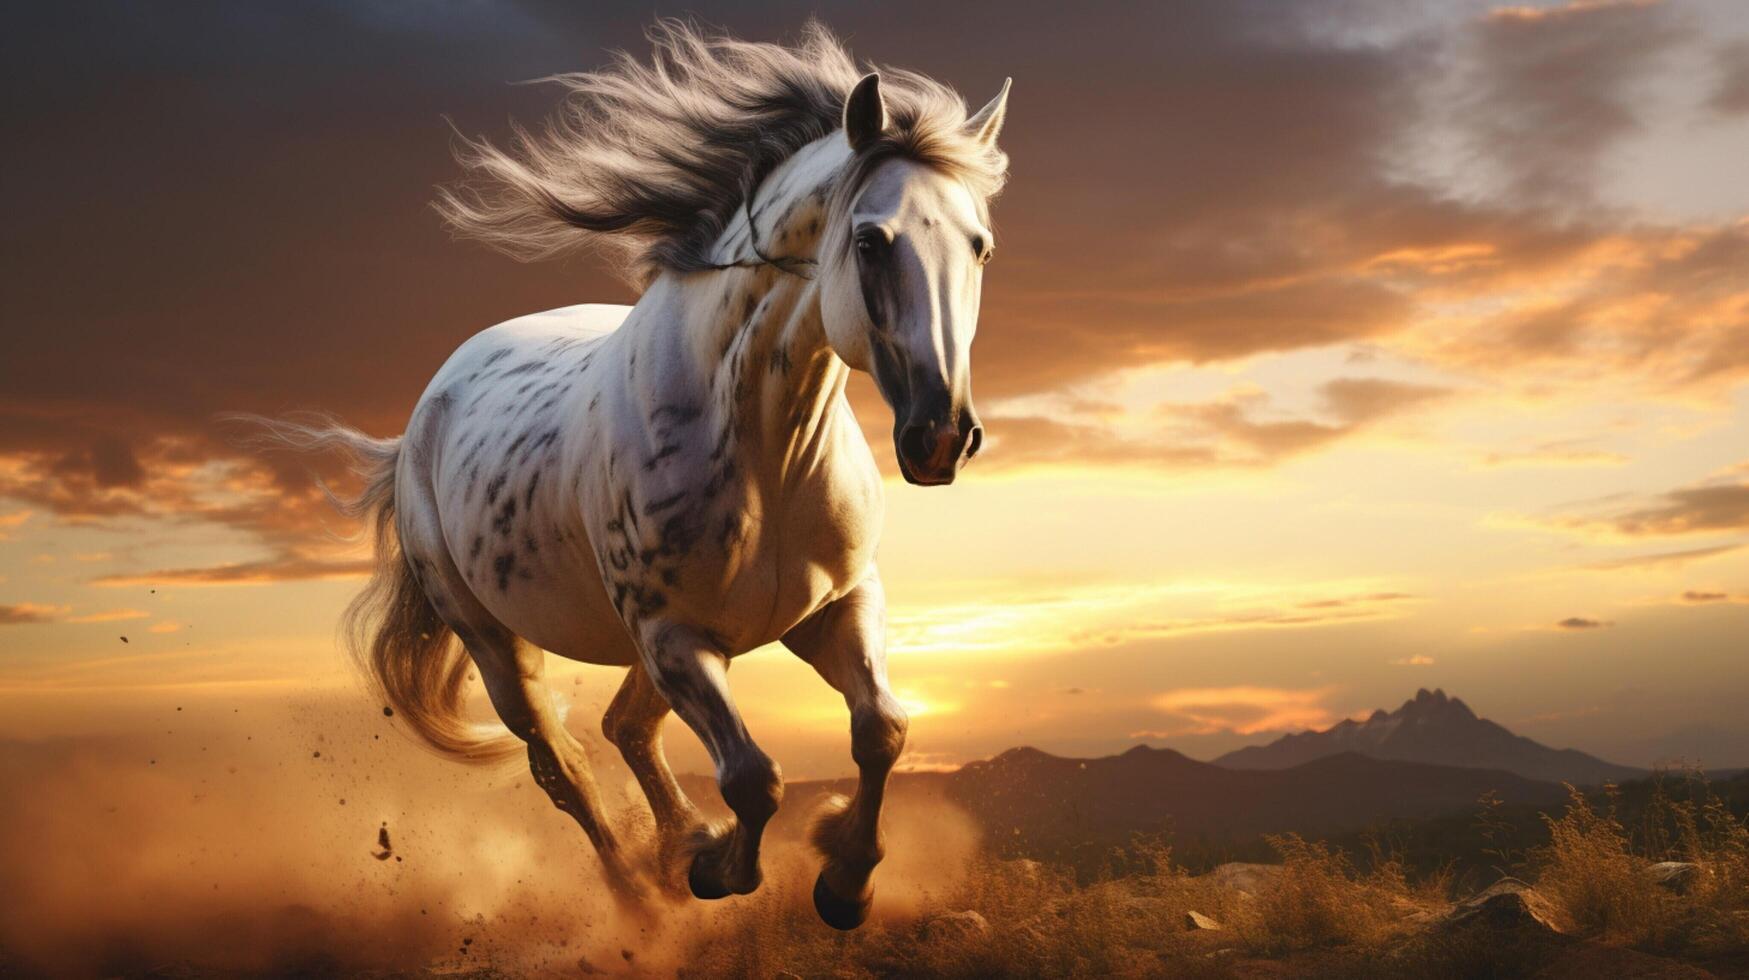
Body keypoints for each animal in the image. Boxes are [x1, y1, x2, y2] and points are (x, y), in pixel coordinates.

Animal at [254, 22, 1010, 930]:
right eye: (870, 240)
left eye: (980, 246)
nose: (941, 438)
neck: (766, 456)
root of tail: (425, 416)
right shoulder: (675, 637)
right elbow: (754, 777)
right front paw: (717, 869)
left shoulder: (834, 606)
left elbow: (881, 732)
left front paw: (842, 882)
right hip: (503, 644)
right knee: (562, 765)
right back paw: (643, 900)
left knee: (625, 728)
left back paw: (672, 851)